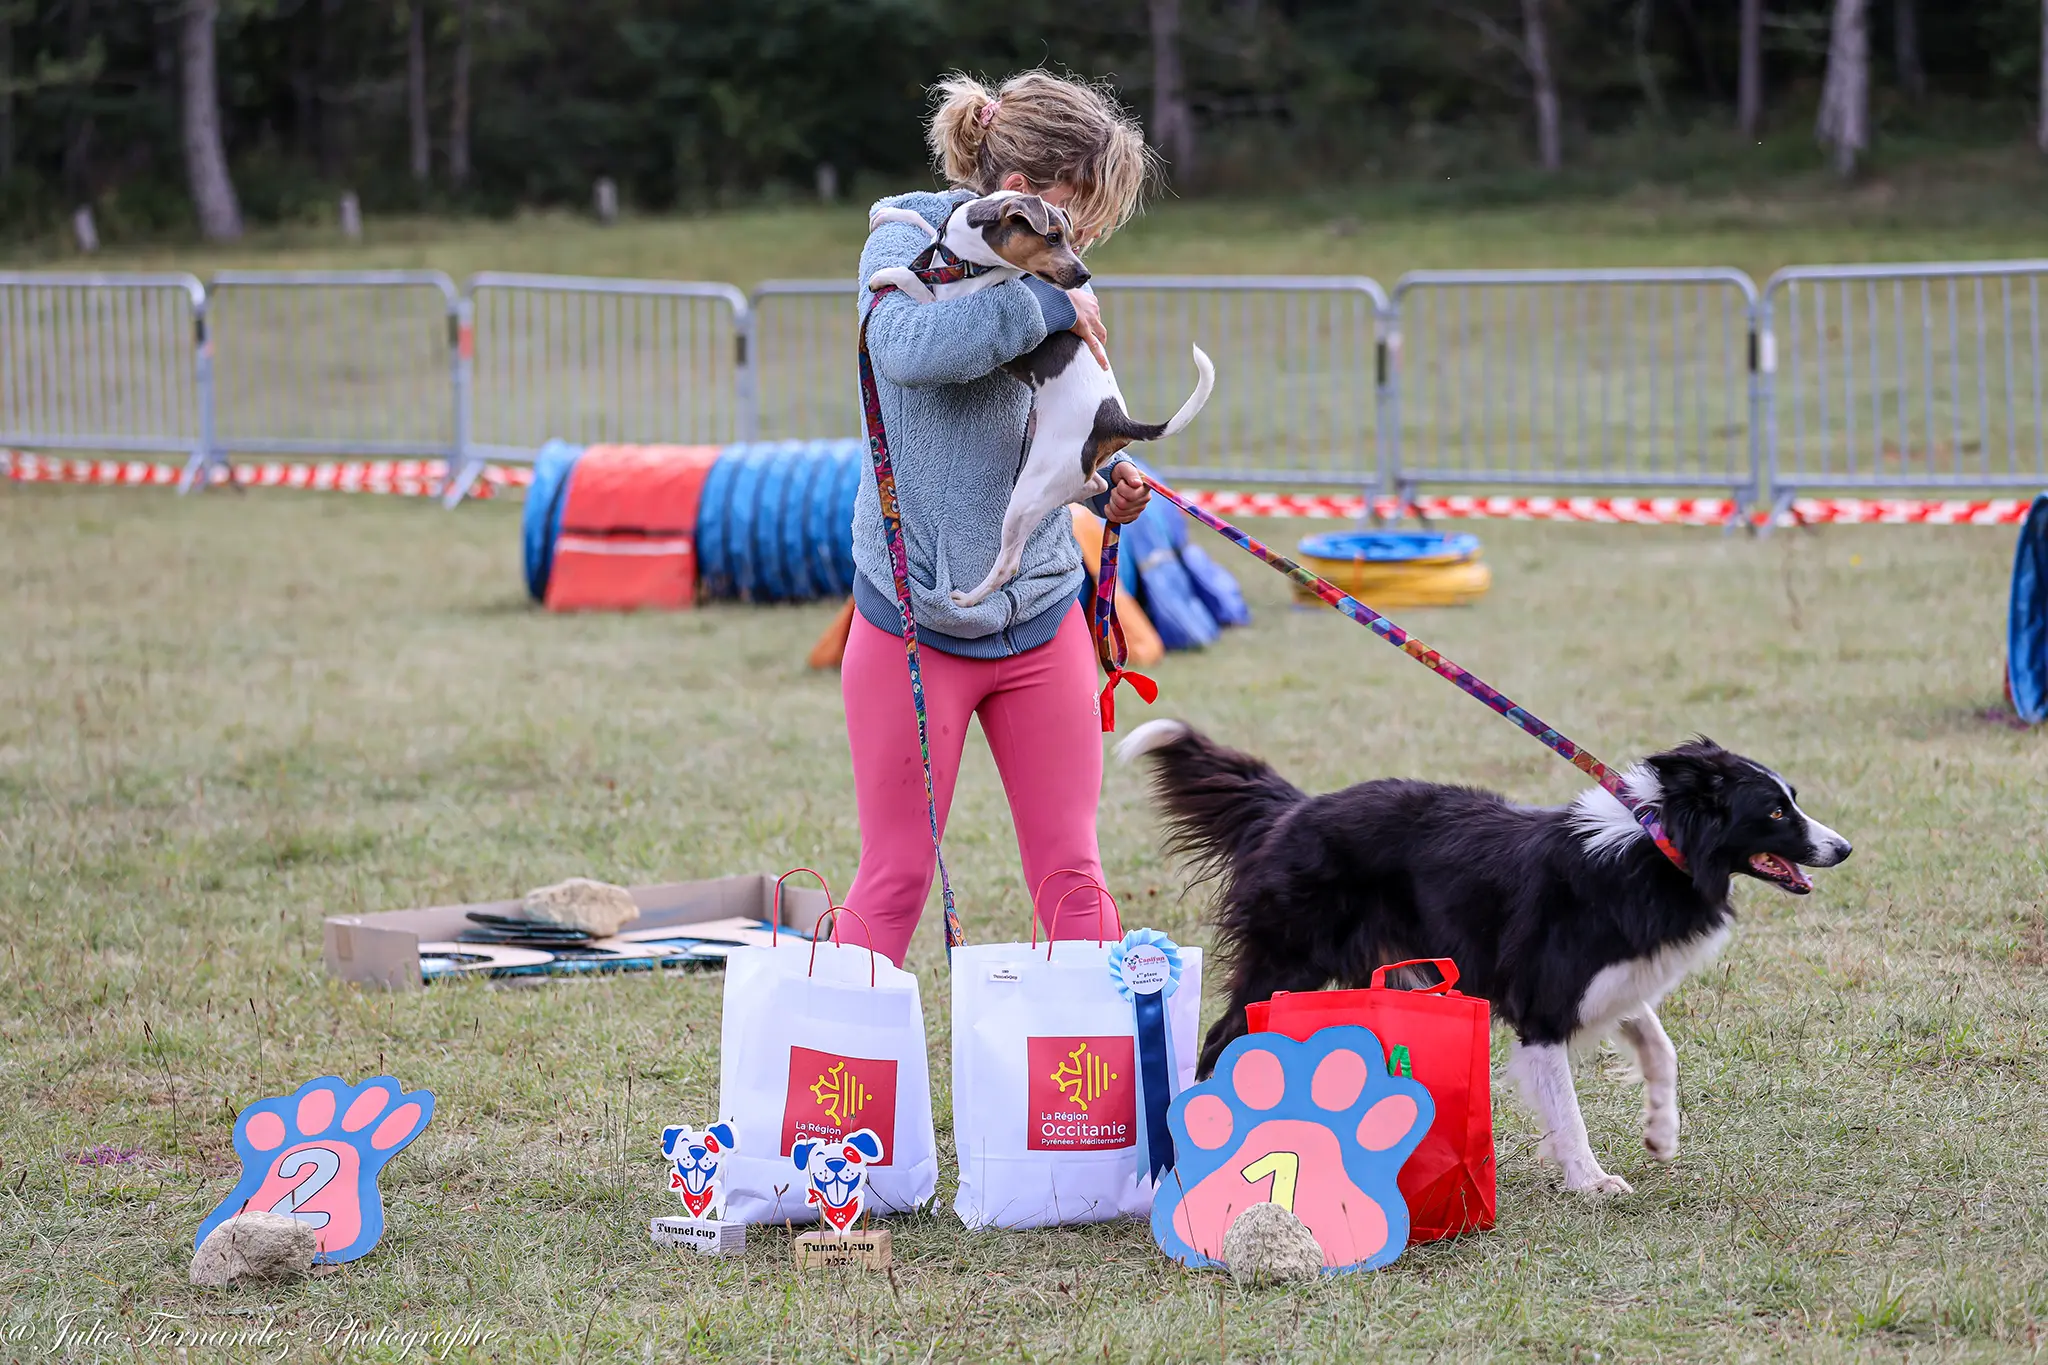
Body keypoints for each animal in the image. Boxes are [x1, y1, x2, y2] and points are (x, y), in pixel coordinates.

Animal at [868, 192, 1212, 609]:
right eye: (1052, 237)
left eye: (1067, 239)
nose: (1084, 275)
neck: (966, 257)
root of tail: (1114, 418)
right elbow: (922, 225)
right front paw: (889, 213)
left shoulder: (951, 302)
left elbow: (915, 282)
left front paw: (888, 275)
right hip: (1054, 474)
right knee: (1093, 485)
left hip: (1027, 493)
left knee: (1008, 564)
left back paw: (968, 598)